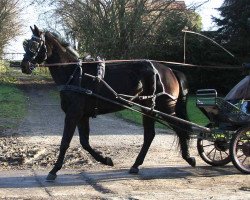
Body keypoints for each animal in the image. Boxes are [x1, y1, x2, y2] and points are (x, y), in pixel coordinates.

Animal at [20, 25, 195, 181]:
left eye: (34, 44)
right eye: (26, 44)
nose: (24, 66)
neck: (75, 74)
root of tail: (169, 70)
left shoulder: (73, 114)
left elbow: (65, 142)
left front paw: (54, 170)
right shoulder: (82, 116)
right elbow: (85, 142)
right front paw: (106, 160)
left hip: (164, 108)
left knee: (181, 128)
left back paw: (188, 158)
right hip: (148, 108)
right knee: (150, 135)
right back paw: (136, 165)